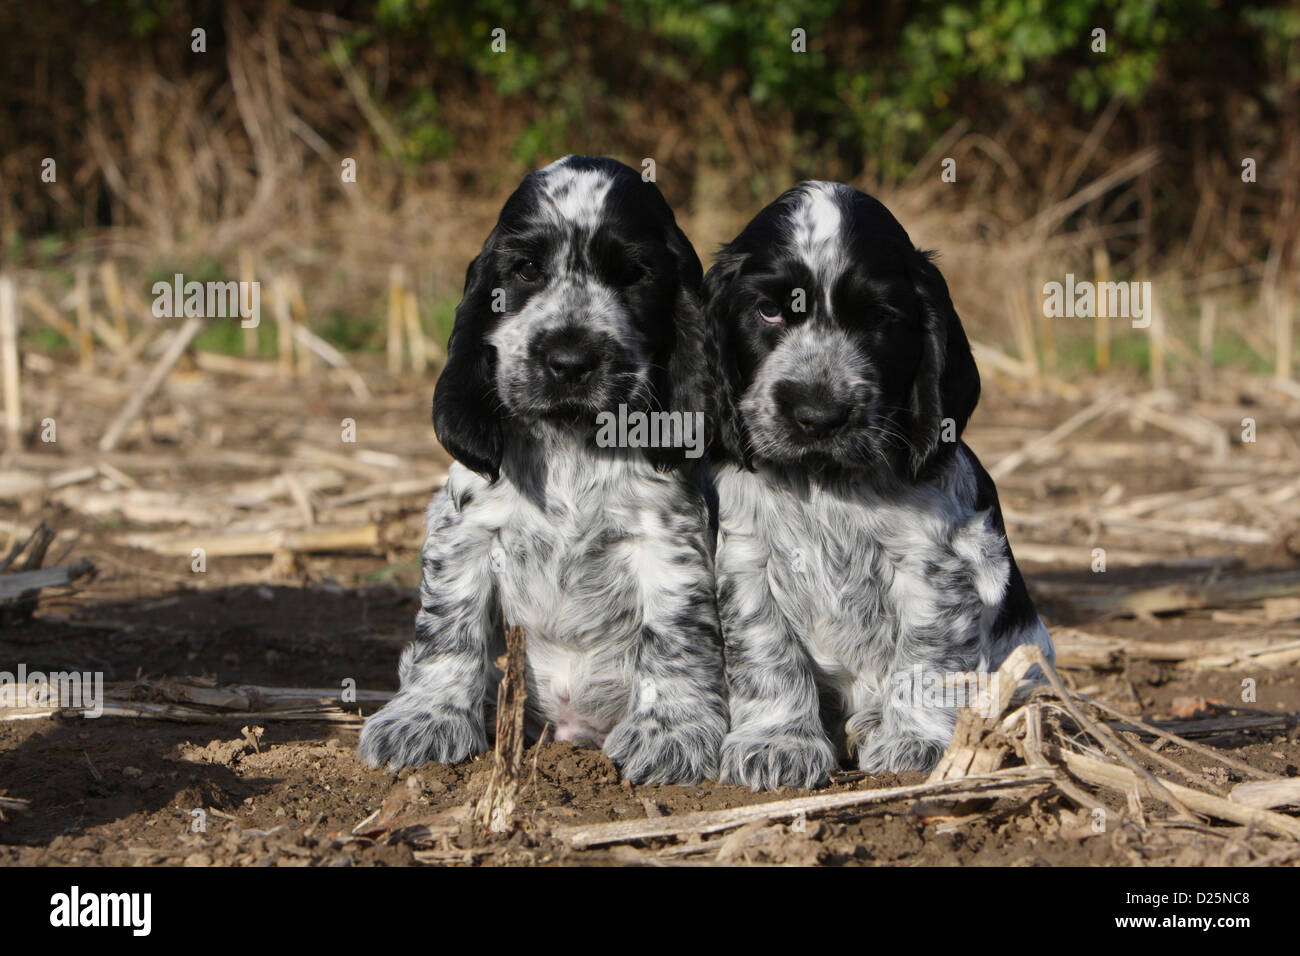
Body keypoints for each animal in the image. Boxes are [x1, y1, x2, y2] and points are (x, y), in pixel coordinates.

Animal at [358, 155, 733, 785]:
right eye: (526, 268)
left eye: (633, 274)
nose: (570, 361)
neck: (571, 441)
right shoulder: (465, 530)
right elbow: (446, 631)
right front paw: (423, 720)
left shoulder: (670, 537)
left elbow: (676, 633)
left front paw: (672, 734)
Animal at [702, 183, 1055, 790]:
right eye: (767, 310)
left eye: (878, 318)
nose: (818, 415)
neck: (826, 482)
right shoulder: (748, 560)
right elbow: (766, 652)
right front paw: (776, 743)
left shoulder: (938, 566)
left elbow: (927, 654)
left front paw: (917, 741)